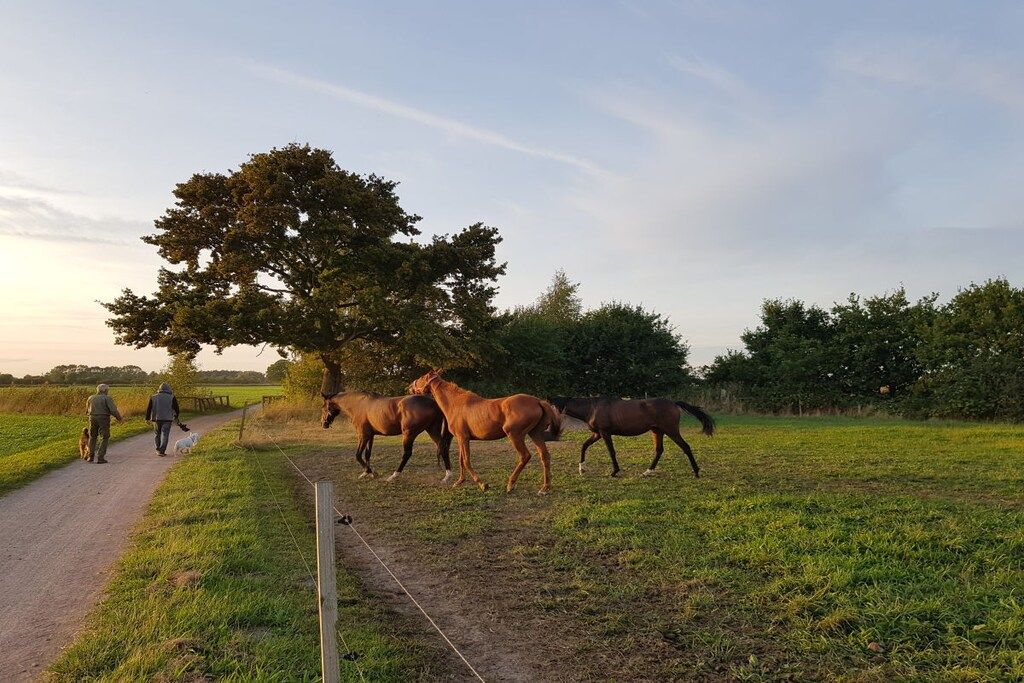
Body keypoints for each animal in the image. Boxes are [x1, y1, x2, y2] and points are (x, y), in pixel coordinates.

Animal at [321, 391, 453, 483]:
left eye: (324, 408)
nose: (323, 424)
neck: (358, 405)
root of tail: (433, 403)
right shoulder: (371, 436)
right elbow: (367, 454)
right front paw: (368, 473)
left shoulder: (363, 435)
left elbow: (358, 455)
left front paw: (369, 472)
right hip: (431, 430)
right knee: (443, 447)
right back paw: (447, 475)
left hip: (409, 434)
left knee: (407, 454)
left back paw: (394, 475)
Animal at [407, 370, 562, 494]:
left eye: (422, 377)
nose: (410, 387)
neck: (456, 404)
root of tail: (538, 401)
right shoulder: (461, 439)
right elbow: (461, 460)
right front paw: (459, 482)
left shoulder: (463, 438)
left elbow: (466, 461)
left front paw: (482, 484)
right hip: (535, 434)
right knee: (545, 456)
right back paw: (545, 488)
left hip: (515, 435)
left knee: (525, 456)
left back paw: (510, 484)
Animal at [547, 396, 715, 478]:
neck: (592, 408)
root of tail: (673, 403)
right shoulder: (597, 434)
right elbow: (584, 446)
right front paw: (582, 469)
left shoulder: (605, 433)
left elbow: (611, 452)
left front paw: (614, 472)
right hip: (657, 431)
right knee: (659, 450)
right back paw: (648, 472)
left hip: (671, 430)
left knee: (685, 447)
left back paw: (696, 472)